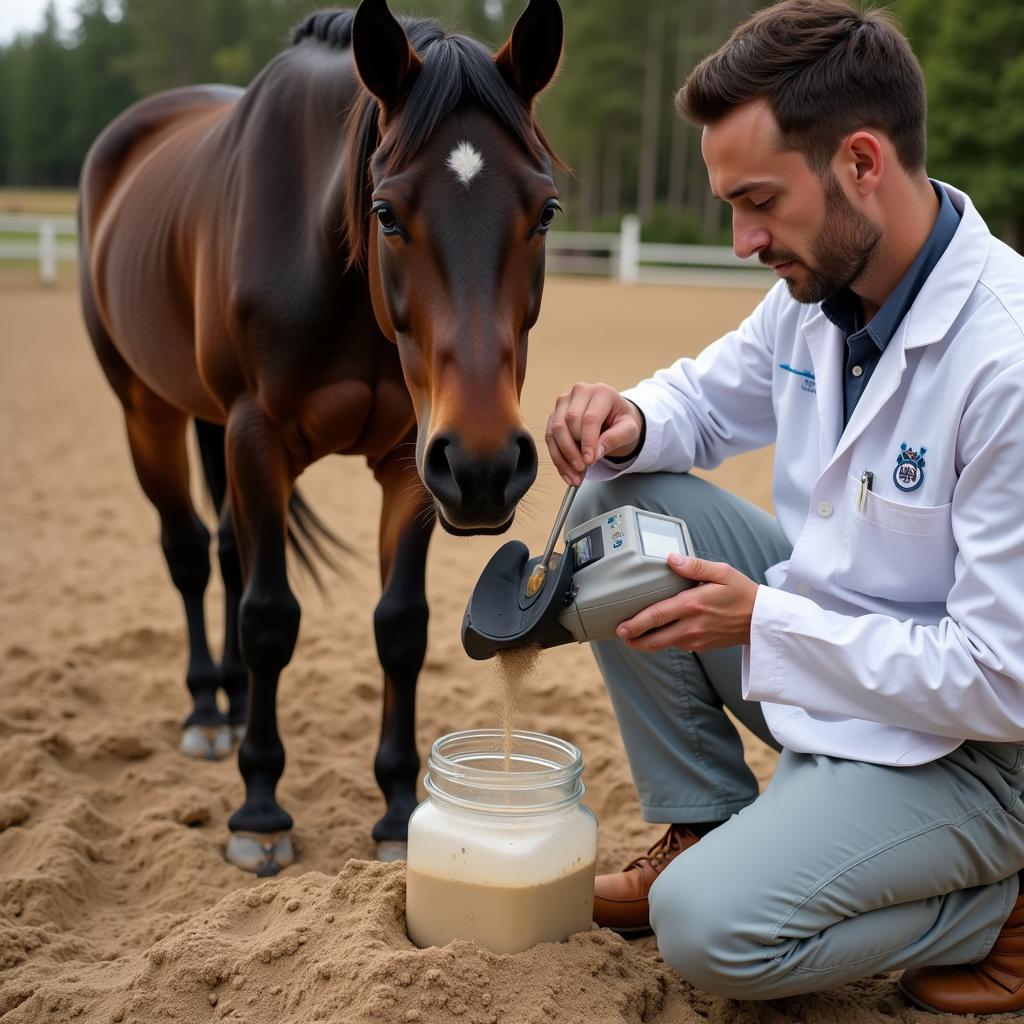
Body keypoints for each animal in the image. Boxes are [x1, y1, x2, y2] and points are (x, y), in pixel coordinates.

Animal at [77, 0, 561, 876]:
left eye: (544, 210)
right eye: (386, 212)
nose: (486, 466)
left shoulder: (412, 460)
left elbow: (400, 627)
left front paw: (400, 809)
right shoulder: (259, 437)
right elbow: (271, 616)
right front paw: (260, 811)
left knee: (227, 553)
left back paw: (235, 702)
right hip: (148, 410)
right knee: (189, 552)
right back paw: (209, 712)